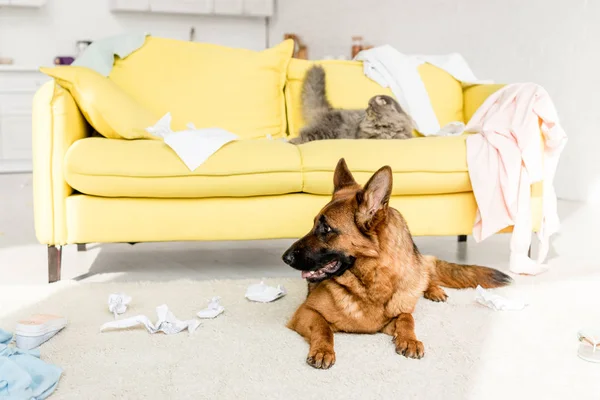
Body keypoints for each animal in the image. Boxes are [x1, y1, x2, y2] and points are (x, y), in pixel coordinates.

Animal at [282, 159, 510, 368]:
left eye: (326, 229)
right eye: (313, 224)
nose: (285, 258)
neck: (371, 283)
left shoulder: (397, 312)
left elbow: (407, 317)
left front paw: (409, 339)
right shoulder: (306, 311)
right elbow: (324, 328)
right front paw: (323, 350)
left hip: (417, 269)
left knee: (426, 274)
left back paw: (434, 290)